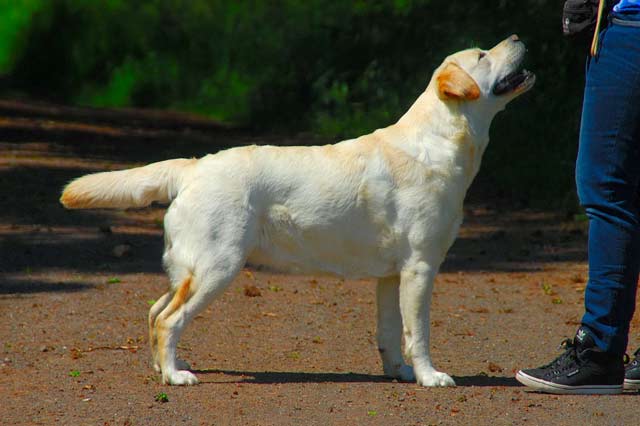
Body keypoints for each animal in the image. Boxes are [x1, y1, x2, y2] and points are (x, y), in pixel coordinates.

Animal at [60, 35, 534, 387]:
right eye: (482, 55)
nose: (516, 37)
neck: (441, 141)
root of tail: (193, 166)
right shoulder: (420, 266)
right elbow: (418, 332)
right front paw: (429, 376)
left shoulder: (391, 275)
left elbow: (389, 331)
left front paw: (398, 373)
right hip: (217, 265)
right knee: (168, 319)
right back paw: (176, 377)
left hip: (189, 267)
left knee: (155, 311)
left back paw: (164, 368)